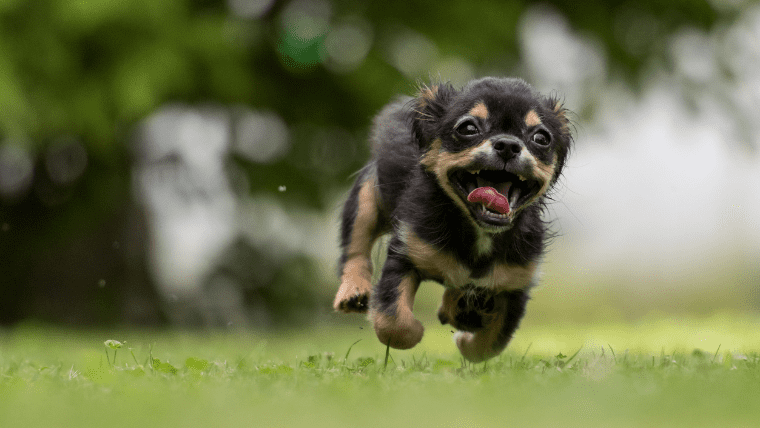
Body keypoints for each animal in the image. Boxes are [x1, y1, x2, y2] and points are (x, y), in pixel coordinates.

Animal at [332, 76, 568, 362]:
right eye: (468, 128)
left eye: (541, 138)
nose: (508, 145)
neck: (479, 231)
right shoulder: (406, 255)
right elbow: (394, 323)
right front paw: (417, 331)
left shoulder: (514, 285)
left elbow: (489, 345)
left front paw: (465, 337)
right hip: (366, 199)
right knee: (355, 249)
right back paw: (352, 291)